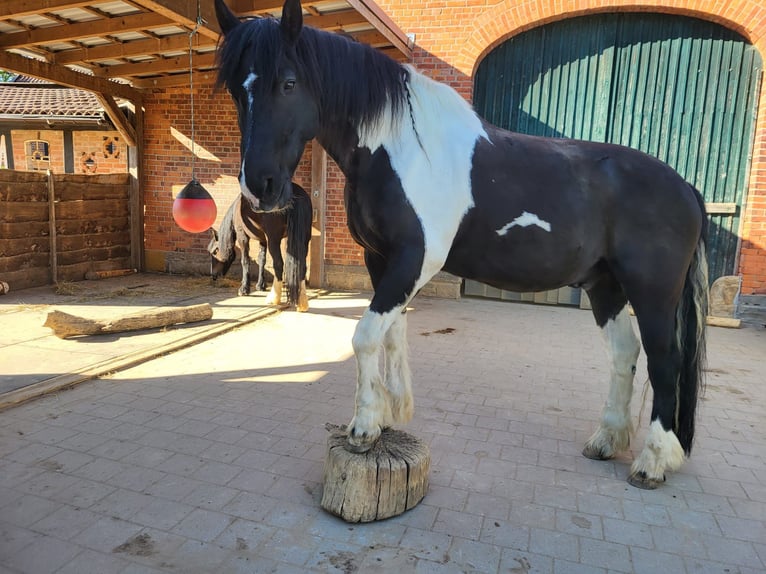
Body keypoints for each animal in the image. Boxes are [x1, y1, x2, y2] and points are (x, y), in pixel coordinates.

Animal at [208, 182, 312, 312]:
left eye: (214, 251)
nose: (213, 275)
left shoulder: (243, 236)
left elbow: (245, 260)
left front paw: (244, 289)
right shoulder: (263, 240)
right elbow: (262, 260)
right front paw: (260, 285)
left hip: (274, 239)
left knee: (279, 264)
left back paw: (273, 298)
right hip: (304, 239)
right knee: (302, 265)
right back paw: (302, 302)